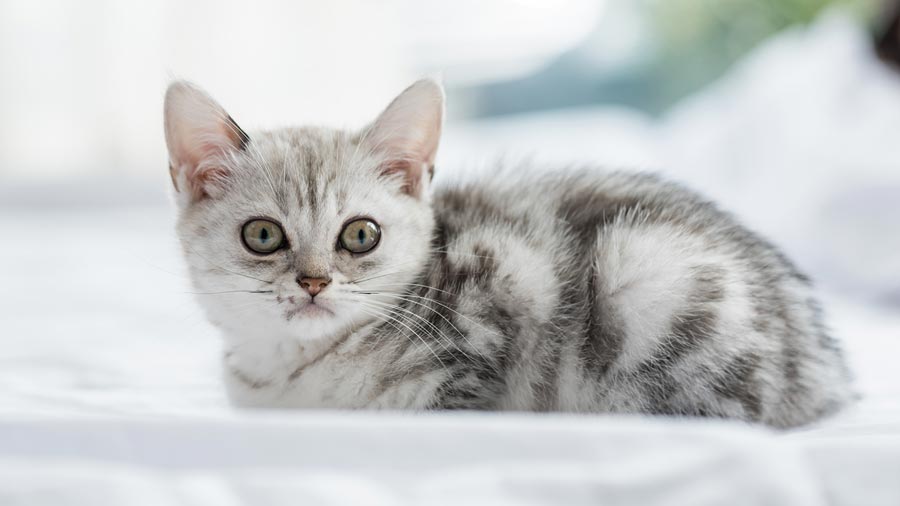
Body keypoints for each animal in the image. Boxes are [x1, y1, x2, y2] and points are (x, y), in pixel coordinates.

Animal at [167, 79, 852, 426]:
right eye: (263, 236)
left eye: (360, 235)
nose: (313, 283)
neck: (293, 374)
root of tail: (826, 376)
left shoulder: (482, 337)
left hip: (647, 275)